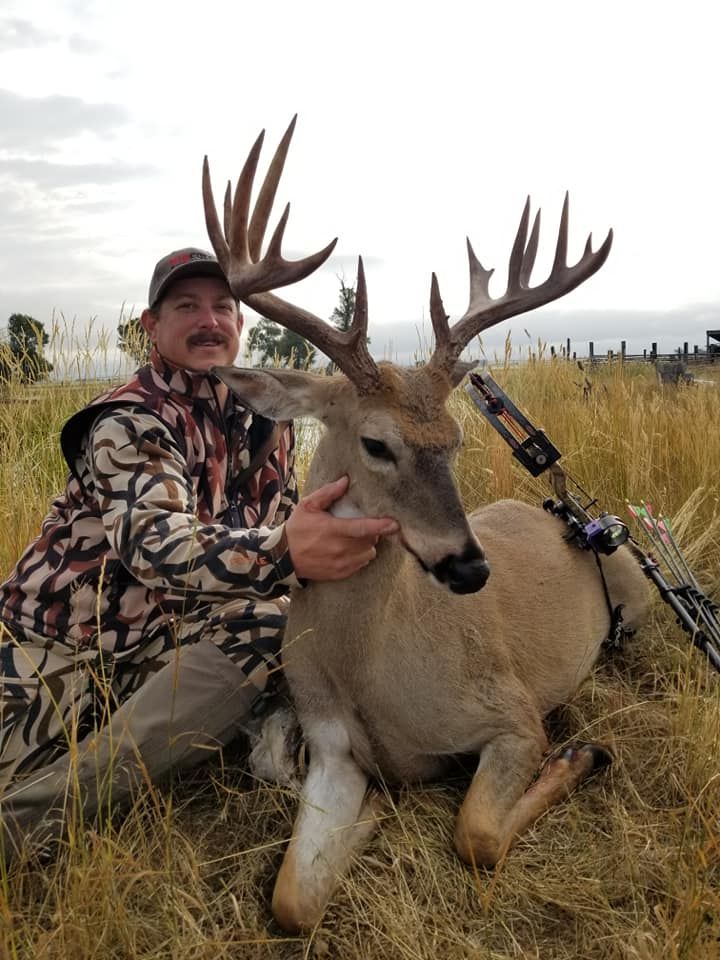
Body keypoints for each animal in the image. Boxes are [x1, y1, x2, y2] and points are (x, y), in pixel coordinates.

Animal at [202, 118, 650, 934]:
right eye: (377, 443)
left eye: (458, 439)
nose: (470, 568)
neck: (370, 677)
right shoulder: (333, 749)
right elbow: (291, 901)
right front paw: (371, 819)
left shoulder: (511, 712)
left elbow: (476, 836)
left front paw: (581, 756)